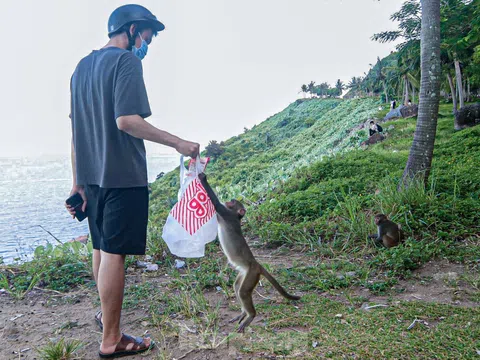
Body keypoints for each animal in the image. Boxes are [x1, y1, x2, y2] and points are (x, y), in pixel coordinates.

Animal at [198, 173, 300, 334]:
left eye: (233, 202)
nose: (230, 199)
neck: (235, 216)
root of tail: (256, 264)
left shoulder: (226, 214)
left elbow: (216, 204)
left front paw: (203, 178)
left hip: (252, 274)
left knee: (243, 292)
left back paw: (251, 315)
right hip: (245, 272)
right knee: (237, 286)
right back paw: (243, 313)